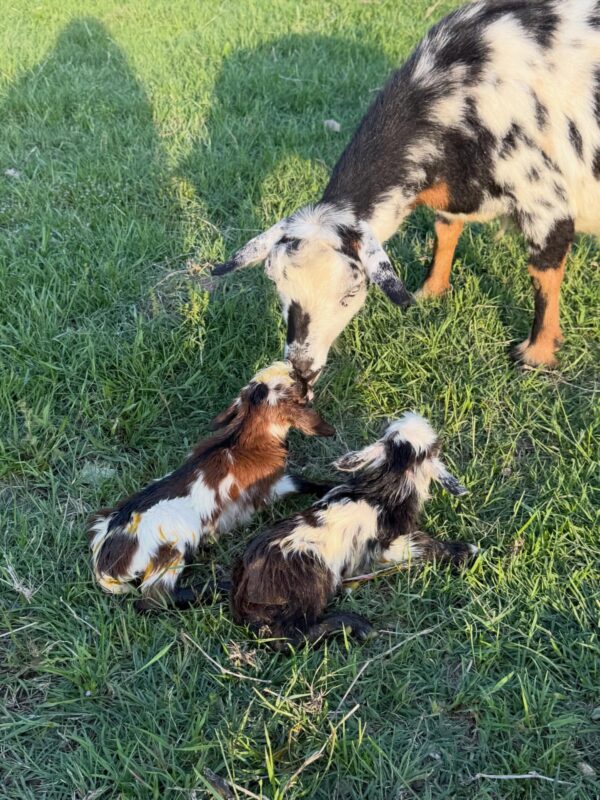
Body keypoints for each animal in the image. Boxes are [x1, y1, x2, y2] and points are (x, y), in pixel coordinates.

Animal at [89, 362, 335, 611]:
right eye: (297, 382)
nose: (309, 382)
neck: (244, 439)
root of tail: (106, 564)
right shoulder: (273, 484)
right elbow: (301, 482)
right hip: (175, 544)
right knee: (156, 598)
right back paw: (218, 590)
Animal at [214, 0, 599, 376]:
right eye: (278, 286)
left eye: (350, 293)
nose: (302, 367)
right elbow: (445, 233)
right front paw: (430, 292)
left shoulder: (546, 204)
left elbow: (544, 276)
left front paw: (538, 354)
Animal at [231, 412, 477, 650]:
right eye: (434, 448)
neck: (383, 491)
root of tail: (242, 594)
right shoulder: (385, 548)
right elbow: (421, 543)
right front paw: (466, 551)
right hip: (310, 582)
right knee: (289, 636)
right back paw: (355, 626)